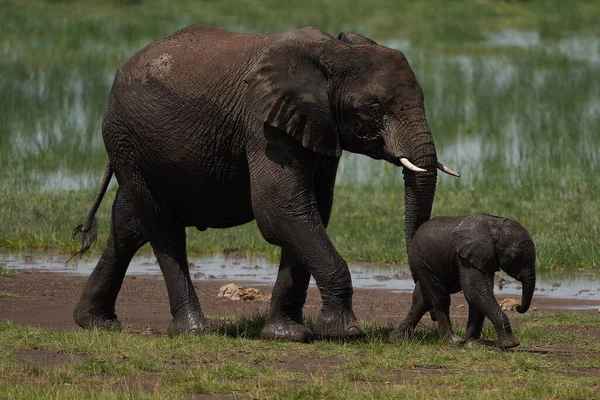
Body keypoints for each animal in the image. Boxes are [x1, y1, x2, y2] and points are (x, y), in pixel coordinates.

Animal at [70, 25, 458, 340]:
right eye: (374, 108)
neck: (333, 52)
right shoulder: (263, 125)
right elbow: (281, 210)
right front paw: (345, 332)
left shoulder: (315, 126)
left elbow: (310, 213)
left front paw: (288, 335)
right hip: (125, 135)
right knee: (162, 226)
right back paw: (194, 330)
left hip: (135, 147)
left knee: (129, 223)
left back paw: (96, 323)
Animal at [392, 214, 536, 348]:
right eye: (513, 256)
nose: (518, 307)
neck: (494, 226)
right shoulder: (466, 259)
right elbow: (475, 292)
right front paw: (511, 344)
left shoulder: (483, 259)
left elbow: (479, 295)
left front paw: (474, 343)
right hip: (422, 261)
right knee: (440, 299)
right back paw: (453, 341)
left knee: (421, 300)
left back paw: (398, 339)